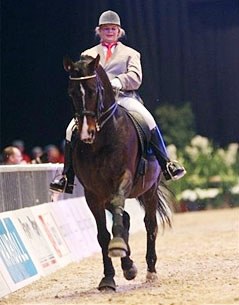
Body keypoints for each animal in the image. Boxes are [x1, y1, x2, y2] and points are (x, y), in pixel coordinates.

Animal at [62, 54, 173, 290]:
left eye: (93, 90)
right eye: (71, 92)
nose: (86, 133)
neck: (101, 141)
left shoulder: (124, 179)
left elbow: (118, 211)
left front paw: (120, 250)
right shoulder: (93, 194)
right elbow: (103, 235)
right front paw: (109, 276)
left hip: (149, 190)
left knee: (149, 224)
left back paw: (150, 270)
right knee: (126, 219)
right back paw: (128, 264)